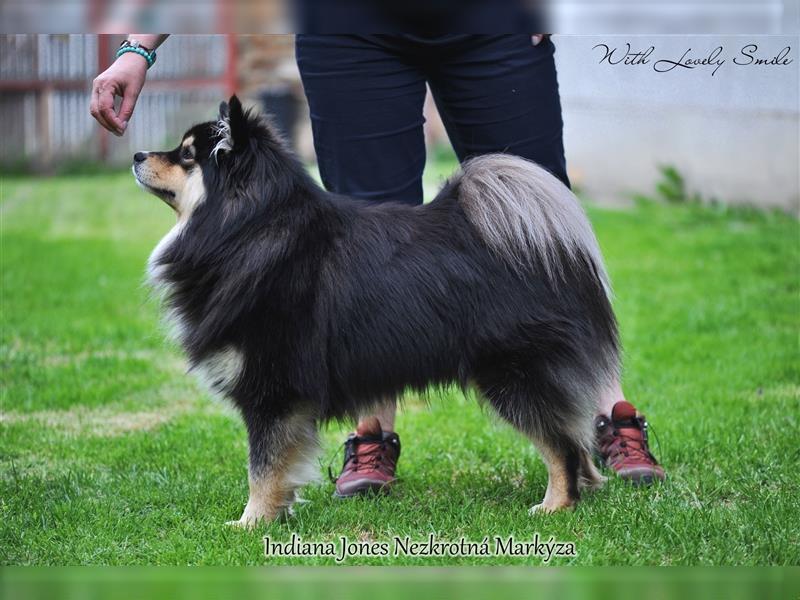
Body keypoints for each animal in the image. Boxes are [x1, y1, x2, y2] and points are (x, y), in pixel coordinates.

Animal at [134, 96, 616, 528]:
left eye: (187, 155)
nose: (138, 153)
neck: (248, 230)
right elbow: (280, 469)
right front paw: (277, 514)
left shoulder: (274, 393)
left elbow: (263, 468)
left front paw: (251, 522)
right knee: (575, 436)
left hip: (514, 375)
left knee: (562, 444)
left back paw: (557, 505)